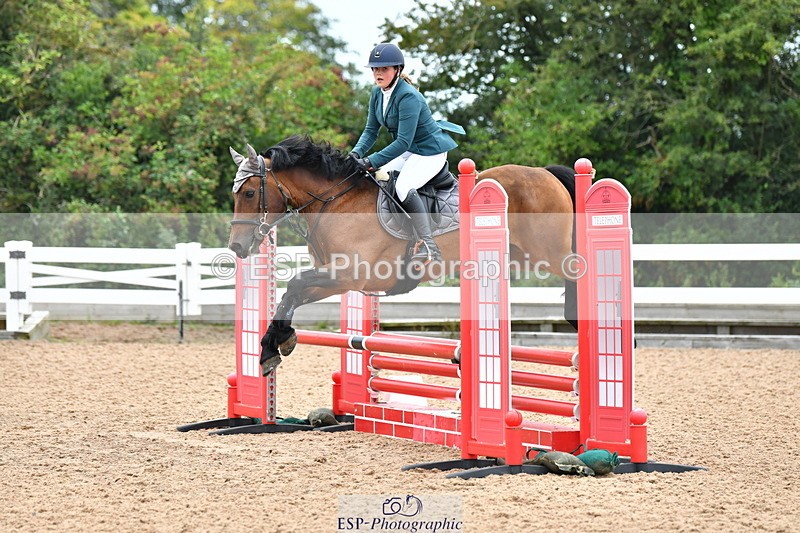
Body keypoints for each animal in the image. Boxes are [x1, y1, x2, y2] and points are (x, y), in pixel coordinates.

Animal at [228, 135, 577, 375]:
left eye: (249, 193)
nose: (237, 248)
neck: (335, 201)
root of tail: (545, 173)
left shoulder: (348, 273)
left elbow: (295, 284)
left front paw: (274, 344)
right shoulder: (339, 279)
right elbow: (293, 293)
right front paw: (275, 345)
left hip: (548, 252)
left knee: (577, 270)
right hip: (521, 255)